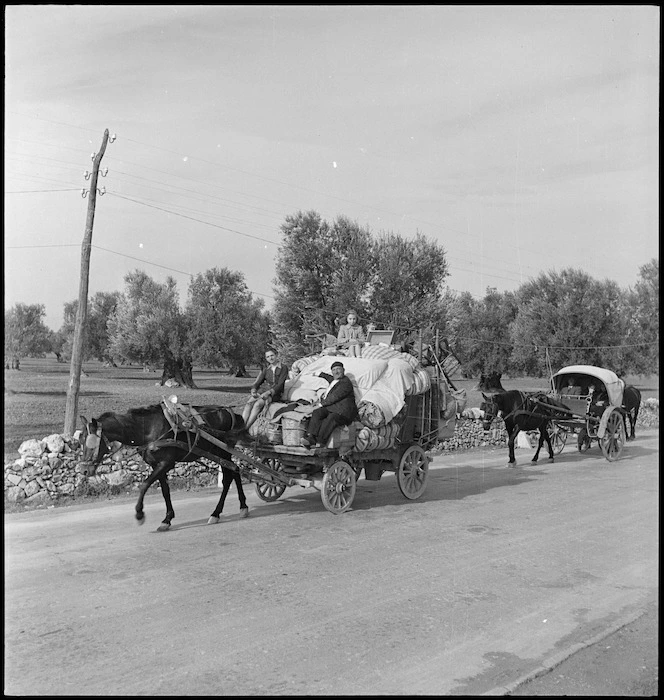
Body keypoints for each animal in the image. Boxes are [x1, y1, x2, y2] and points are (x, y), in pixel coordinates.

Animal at [80, 404, 250, 532]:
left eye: (91, 441)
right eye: (80, 440)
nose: (84, 470)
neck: (146, 429)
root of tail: (229, 412)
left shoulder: (166, 463)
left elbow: (144, 485)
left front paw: (139, 514)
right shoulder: (157, 464)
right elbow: (165, 491)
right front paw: (167, 519)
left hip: (222, 451)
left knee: (229, 475)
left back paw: (224, 511)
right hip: (218, 452)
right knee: (234, 471)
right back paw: (235, 508)